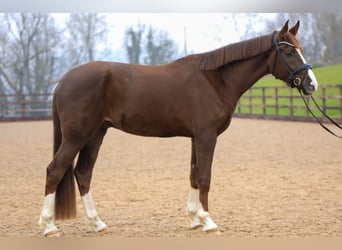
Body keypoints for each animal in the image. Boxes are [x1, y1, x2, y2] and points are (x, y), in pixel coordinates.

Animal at [39, 20, 318, 235]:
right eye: (290, 53)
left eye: (301, 50)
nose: (311, 84)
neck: (215, 80)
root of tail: (63, 81)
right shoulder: (206, 136)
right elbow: (205, 177)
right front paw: (208, 221)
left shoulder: (196, 137)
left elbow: (194, 175)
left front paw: (194, 218)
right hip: (77, 136)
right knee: (55, 170)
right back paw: (49, 226)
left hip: (96, 133)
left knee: (83, 173)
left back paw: (97, 223)